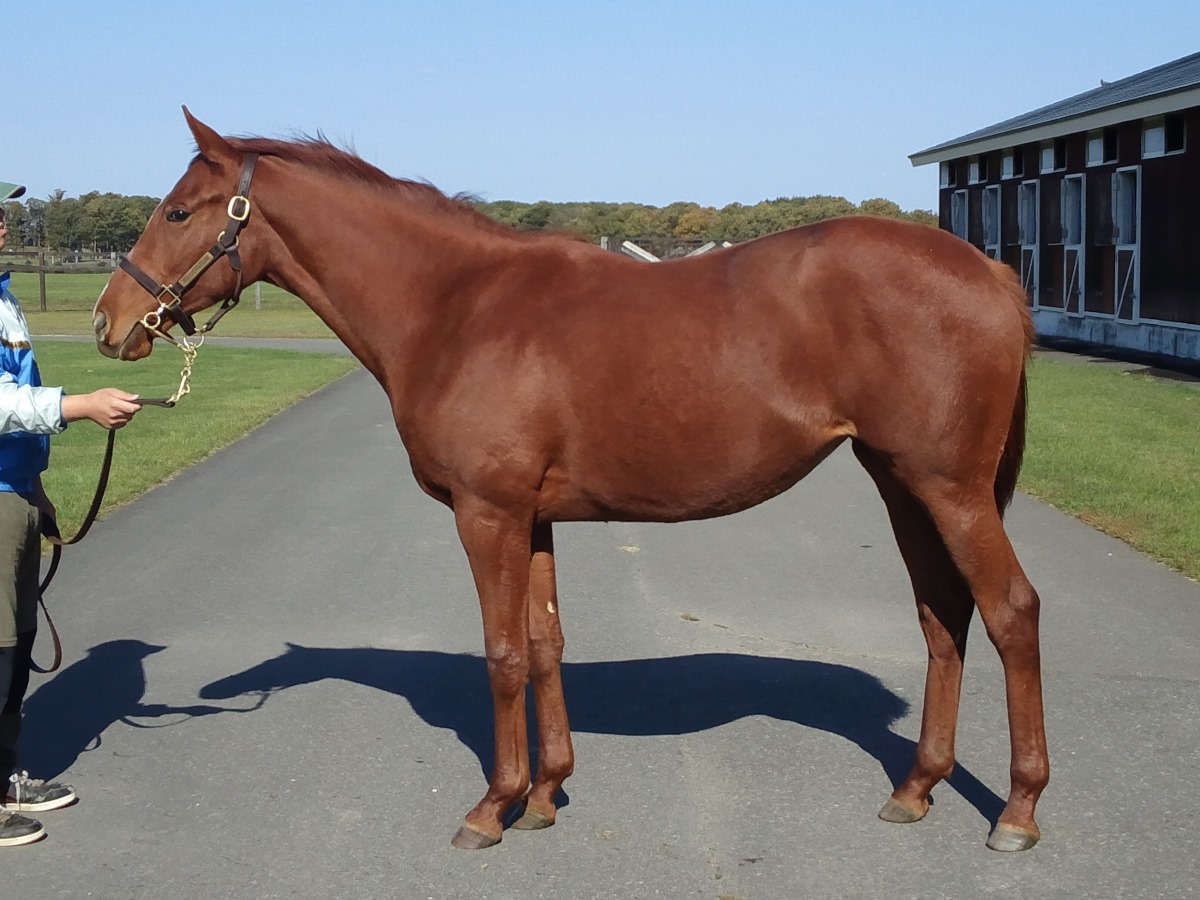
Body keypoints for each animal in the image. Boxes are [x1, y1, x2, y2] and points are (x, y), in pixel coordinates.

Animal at [92, 107, 1048, 852]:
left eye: (179, 210)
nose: (109, 323)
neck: (455, 306)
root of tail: (991, 269)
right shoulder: (535, 517)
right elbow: (547, 643)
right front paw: (547, 794)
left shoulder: (486, 514)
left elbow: (504, 653)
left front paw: (492, 807)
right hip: (902, 484)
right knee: (942, 617)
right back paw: (915, 789)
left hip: (950, 489)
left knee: (1010, 612)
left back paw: (1018, 810)